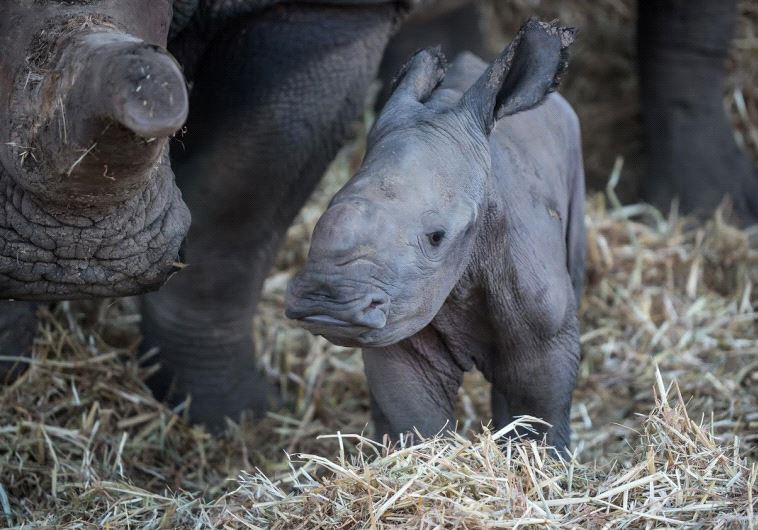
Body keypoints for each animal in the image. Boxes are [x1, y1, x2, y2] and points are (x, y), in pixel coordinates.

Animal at [287, 19, 585, 452]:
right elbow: (416, 418)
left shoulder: (548, 334)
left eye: (436, 237)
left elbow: (537, 416)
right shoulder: (399, 324)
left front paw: (545, 464)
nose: (326, 302)